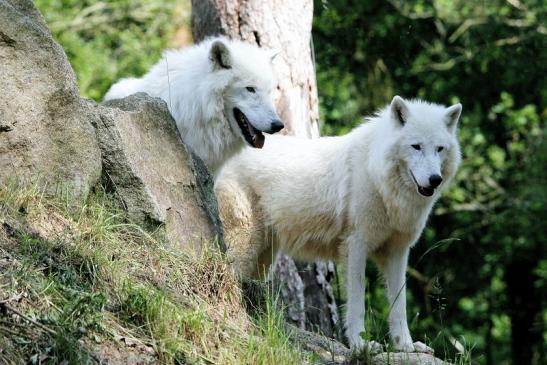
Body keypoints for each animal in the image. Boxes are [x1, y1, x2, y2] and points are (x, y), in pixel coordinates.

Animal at [216, 95, 464, 352]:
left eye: (439, 149)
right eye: (416, 146)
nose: (435, 180)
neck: (379, 180)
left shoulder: (397, 251)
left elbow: (399, 306)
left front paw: (406, 346)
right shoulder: (356, 246)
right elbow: (357, 303)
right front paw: (360, 344)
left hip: (263, 259)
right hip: (245, 246)